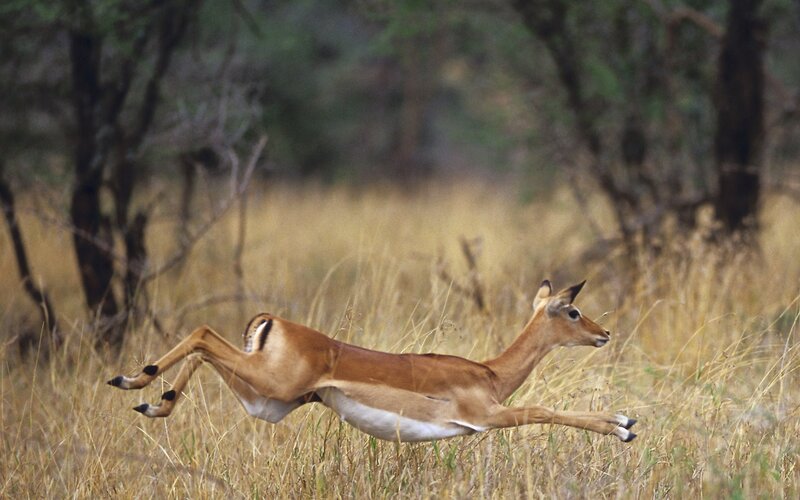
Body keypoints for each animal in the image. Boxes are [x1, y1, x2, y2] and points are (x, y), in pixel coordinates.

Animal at [108, 280, 637, 442]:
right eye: (572, 311)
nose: (604, 333)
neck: (489, 372)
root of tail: (271, 321)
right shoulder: (486, 416)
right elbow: (544, 409)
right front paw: (622, 424)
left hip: (267, 402)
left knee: (202, 346)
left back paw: (151, 399)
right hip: (273, 386)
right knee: (201, 332)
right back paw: (131, 380)